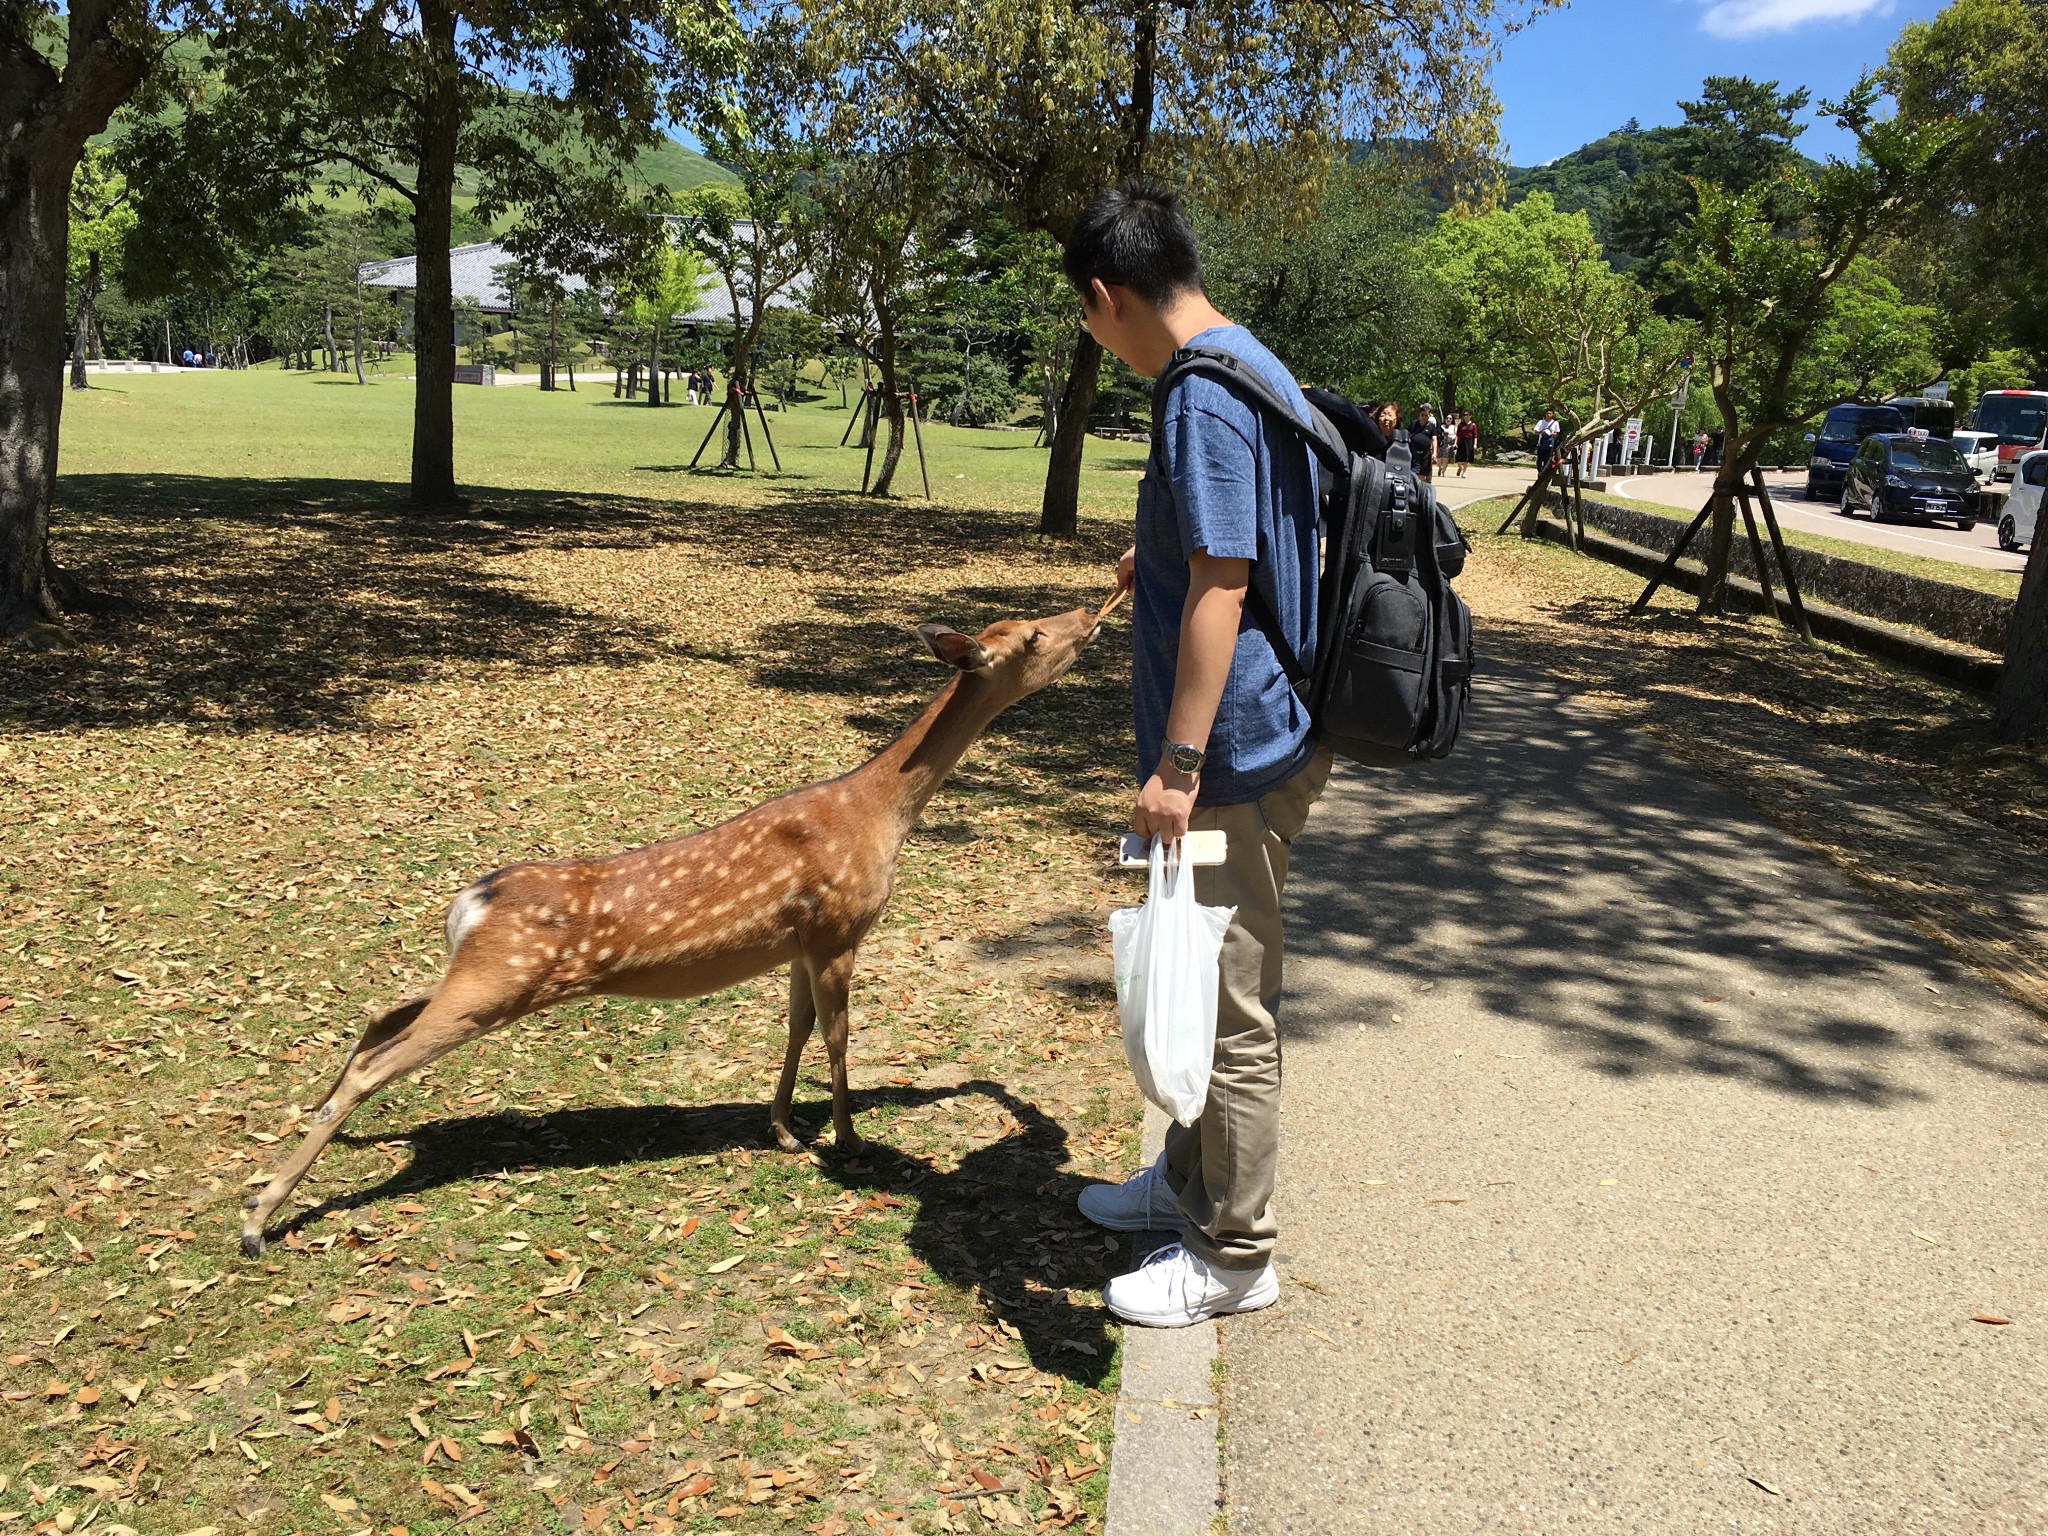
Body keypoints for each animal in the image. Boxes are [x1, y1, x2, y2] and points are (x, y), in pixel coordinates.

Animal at [241, 606, 1114, 1253]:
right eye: (1031, 638)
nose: (1088, 616)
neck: (881, 814)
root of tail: (471, 901)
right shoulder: (840, 927)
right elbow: (838, 1036)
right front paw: (846, 1139)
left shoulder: (798, 943)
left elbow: (796, 1029)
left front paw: (783, 1131)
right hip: (499, 980)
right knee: (377, 1060)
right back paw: (260, 1217)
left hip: (477, 970)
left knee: (377, 1016)